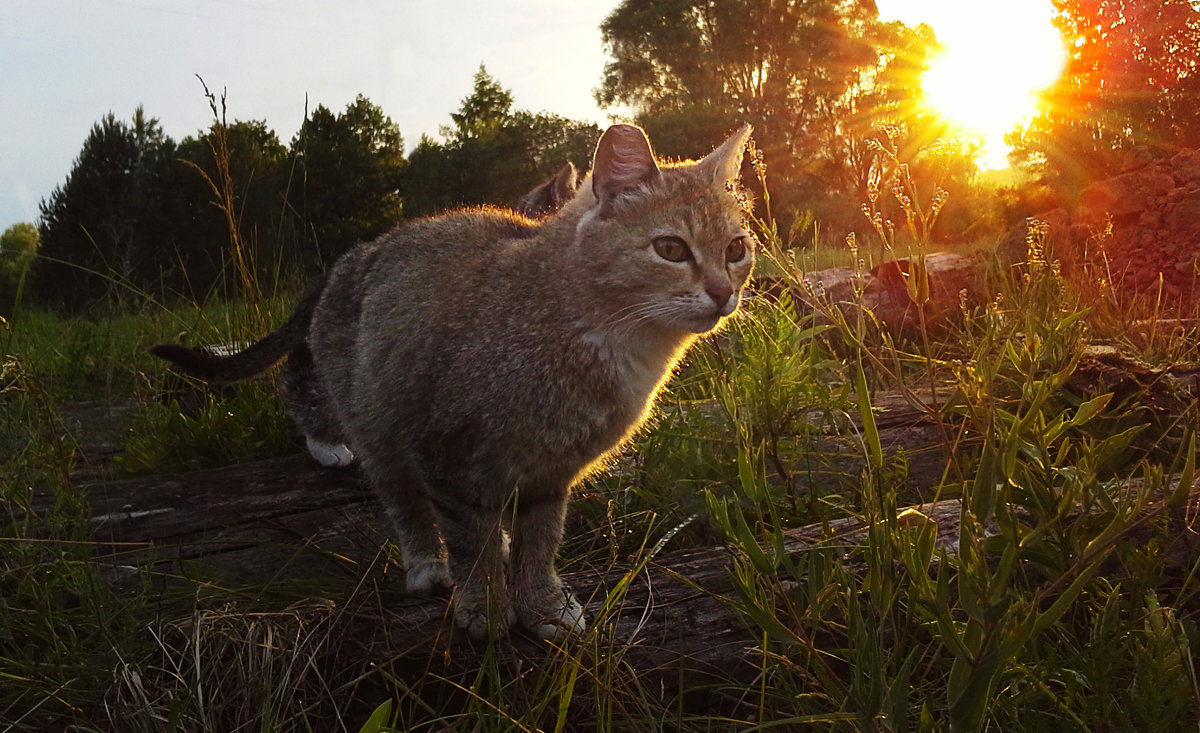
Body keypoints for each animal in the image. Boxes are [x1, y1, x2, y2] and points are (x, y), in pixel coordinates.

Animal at [150, 123, 748, 638]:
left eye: (737, 249)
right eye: (670, 249)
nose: (724, 292)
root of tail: (351, 258)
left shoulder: (550, 473)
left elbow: (540, 542)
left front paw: (543, 604)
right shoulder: (446, 450)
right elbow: (467, 540)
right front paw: (484, 604)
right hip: (375, 417)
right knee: (400, 496)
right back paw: (421, 555)